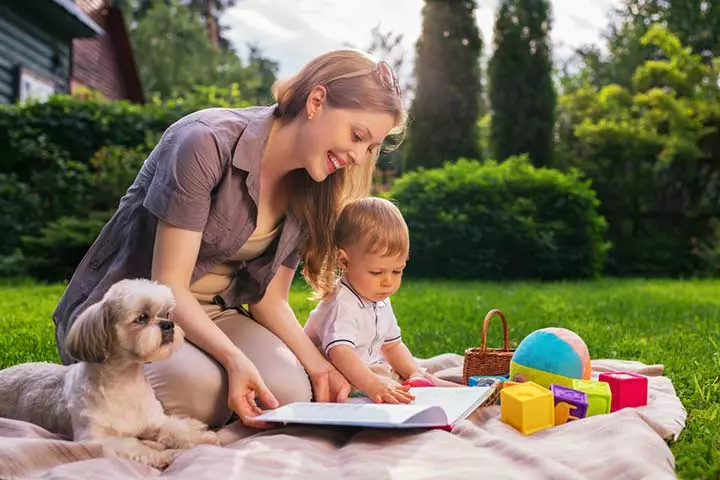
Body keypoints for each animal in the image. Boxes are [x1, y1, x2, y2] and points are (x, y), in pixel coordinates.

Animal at [0, 278, 217, 468]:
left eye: (166, 314)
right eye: (142, 317)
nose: (168, 325)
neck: (127, 382)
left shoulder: (155, 421)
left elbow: (176, 429)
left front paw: (203, 437)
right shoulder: (97, 439)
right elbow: (134, 445)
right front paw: (160, 455)